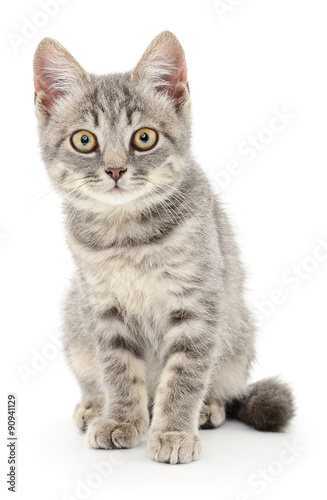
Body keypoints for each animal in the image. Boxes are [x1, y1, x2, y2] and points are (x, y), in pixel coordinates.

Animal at [32, 32, 294, 464]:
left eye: (144, 137)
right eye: (84, 140)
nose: (115, 169)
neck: (127, 236)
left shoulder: (197, 305)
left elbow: (184, 376)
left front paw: (173, 431)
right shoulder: (103, 308)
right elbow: (118, 370)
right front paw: (121, 419)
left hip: (237, 333)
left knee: (225, 387)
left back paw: (207, 408)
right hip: (74, 319)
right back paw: (94, 405)